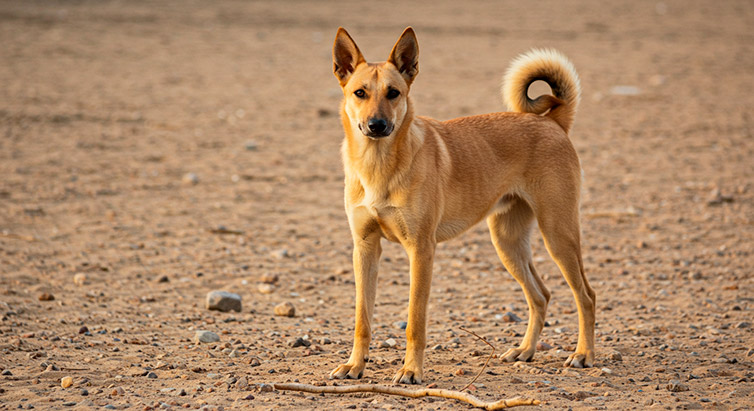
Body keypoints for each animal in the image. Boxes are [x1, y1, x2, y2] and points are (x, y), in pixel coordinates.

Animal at [328, 27, 592, 384]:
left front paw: (411, 370)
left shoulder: (421, 250)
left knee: (586, 296)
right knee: (541, 295)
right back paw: (525, 350)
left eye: (394, 93)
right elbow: (362, 318)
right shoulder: (365, 249)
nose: (377, 125)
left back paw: (584, 354)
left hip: (558, 235)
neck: (379, 164)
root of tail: (553, 122)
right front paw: (355, 365)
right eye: (360, 93)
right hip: (508, 243)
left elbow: (415, 322)